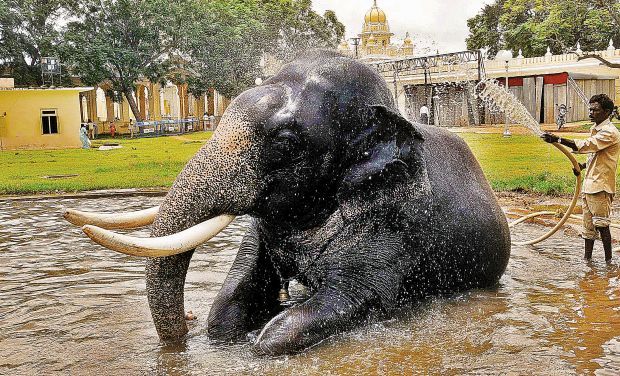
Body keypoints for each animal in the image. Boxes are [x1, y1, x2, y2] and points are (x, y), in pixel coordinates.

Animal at [65, 50, 512, 356]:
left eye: (285, 143)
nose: (179, 341)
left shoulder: (395, 219)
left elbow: (353, 298)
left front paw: (258, 341)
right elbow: (232, 299)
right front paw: (223, 333)